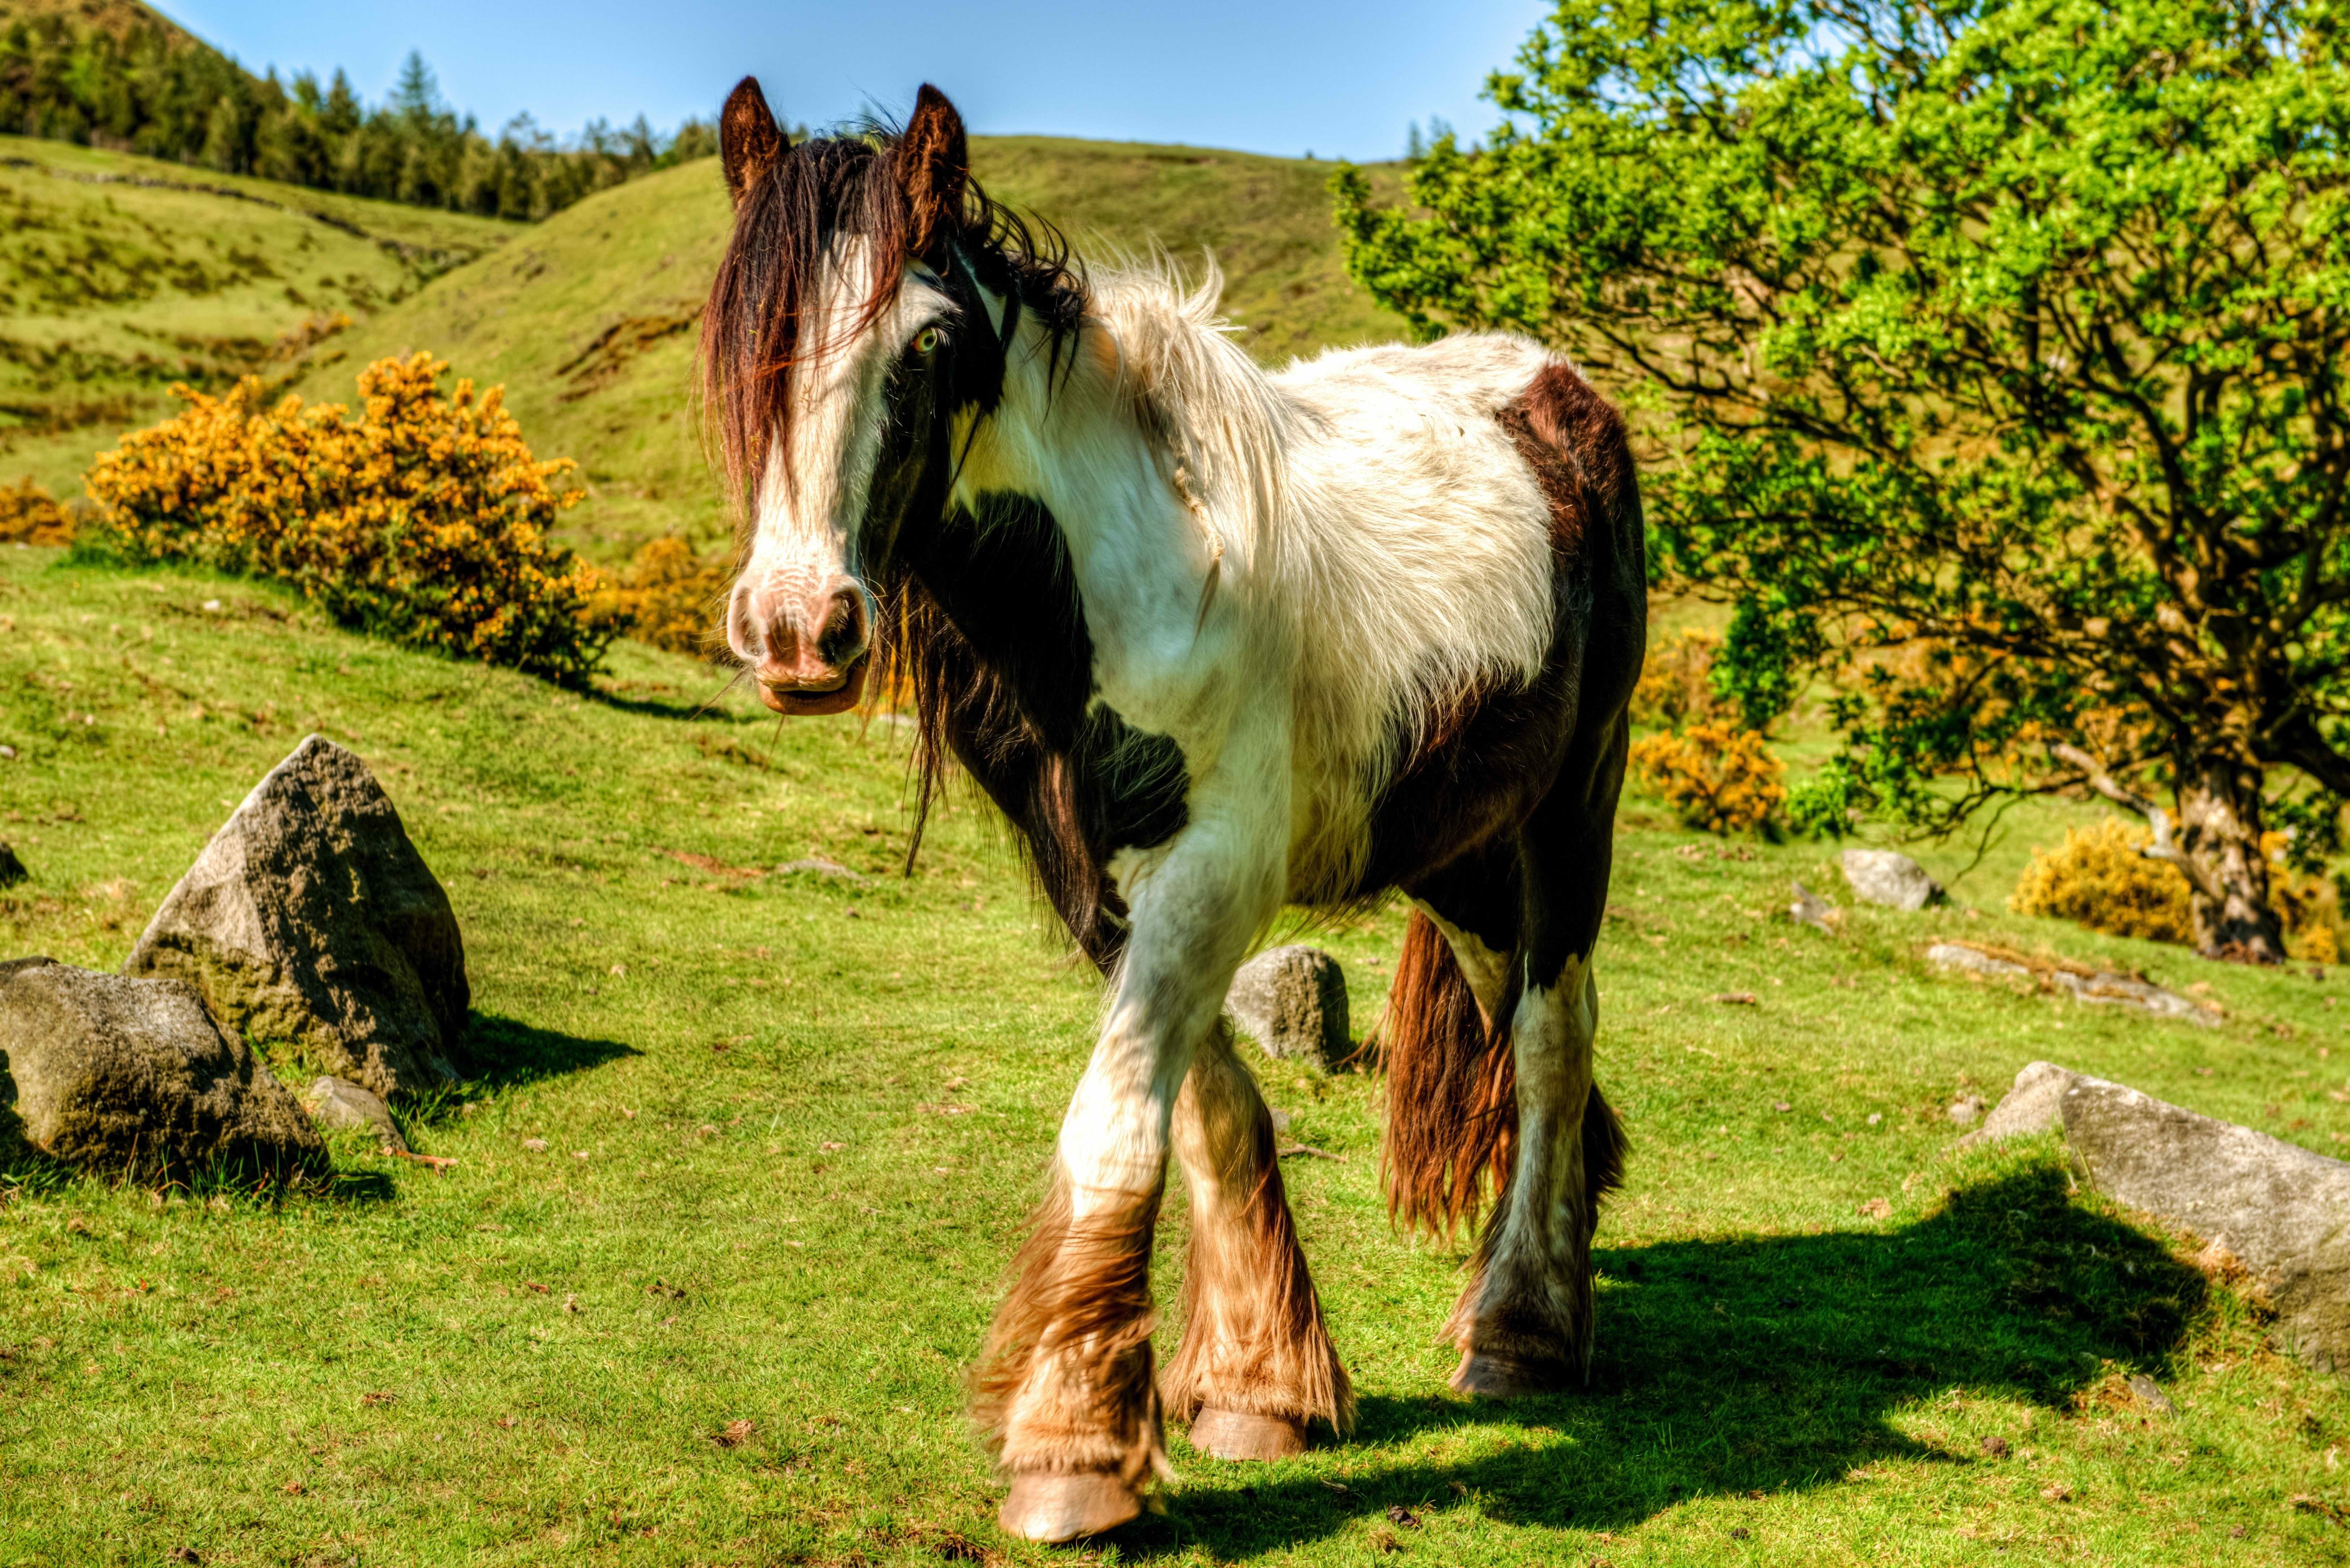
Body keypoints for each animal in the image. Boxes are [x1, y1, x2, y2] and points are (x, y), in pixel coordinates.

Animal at [700, 79, 1647, 1544]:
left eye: (925, 345)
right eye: (750, 333)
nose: (800, 629)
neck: (1123, 576)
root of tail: (1556, 388)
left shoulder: (1212, 872)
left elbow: (1115, 1123)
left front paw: (1072, 1452)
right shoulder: (1103, 885)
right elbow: (1207, 1113)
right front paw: (1260, 1388)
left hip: (1566, 817)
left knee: (1549, 1041)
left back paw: (1519, 1331)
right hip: (1459, 850)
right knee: (1520, 1029)